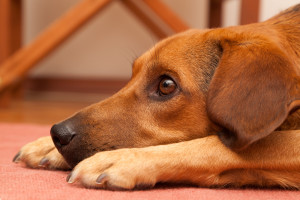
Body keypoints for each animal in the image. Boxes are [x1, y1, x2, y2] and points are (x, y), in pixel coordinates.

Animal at [14, 3, 300, 190]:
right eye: (132, 74)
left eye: (166, 85)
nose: (57, 134)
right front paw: (47, 147)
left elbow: (218, 145)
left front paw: (125, 160)